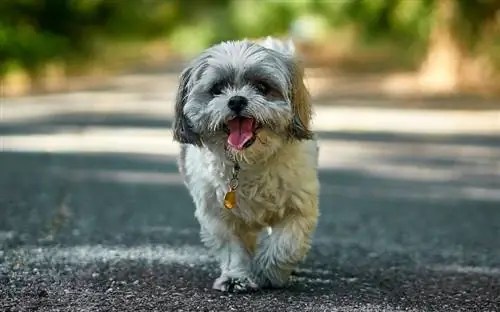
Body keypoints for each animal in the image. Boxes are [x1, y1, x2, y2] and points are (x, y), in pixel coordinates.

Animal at [173, 36, 320, 292]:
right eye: (217, 89)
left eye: (262, 87)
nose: (237, 100)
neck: (248, 163)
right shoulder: (217, 214)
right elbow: (232, 248)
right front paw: (236, 277)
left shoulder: (298, 207)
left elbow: (286, 244)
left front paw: (268, 272)